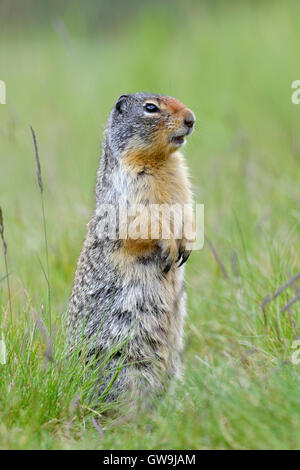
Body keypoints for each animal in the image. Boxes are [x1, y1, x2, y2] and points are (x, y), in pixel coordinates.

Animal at [67, 93, 196, 406]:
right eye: (151, 108)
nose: (191, 119)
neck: (161, 161)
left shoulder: (182, 183)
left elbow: (187, 210)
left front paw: (187, 243)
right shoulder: (131, 189)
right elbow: (143, 222)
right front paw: (170, 247)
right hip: (124, 361)